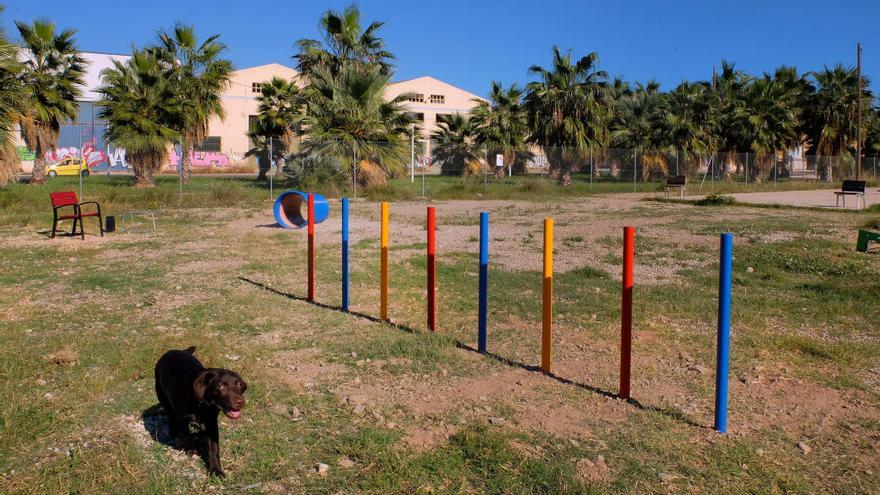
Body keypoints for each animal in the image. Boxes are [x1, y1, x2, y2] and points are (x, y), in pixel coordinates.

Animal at [153, 346, 246, 478]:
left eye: (238, 384)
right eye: (220, 387)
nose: (241, 402)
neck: (202, 405)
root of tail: (173, 351)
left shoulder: (212, 423)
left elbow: (214, 448)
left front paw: (216, 470)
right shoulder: (182, 418)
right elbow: (186, 435)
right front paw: (191, 450)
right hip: (162, 396)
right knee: (170, 415)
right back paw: (174, 432)